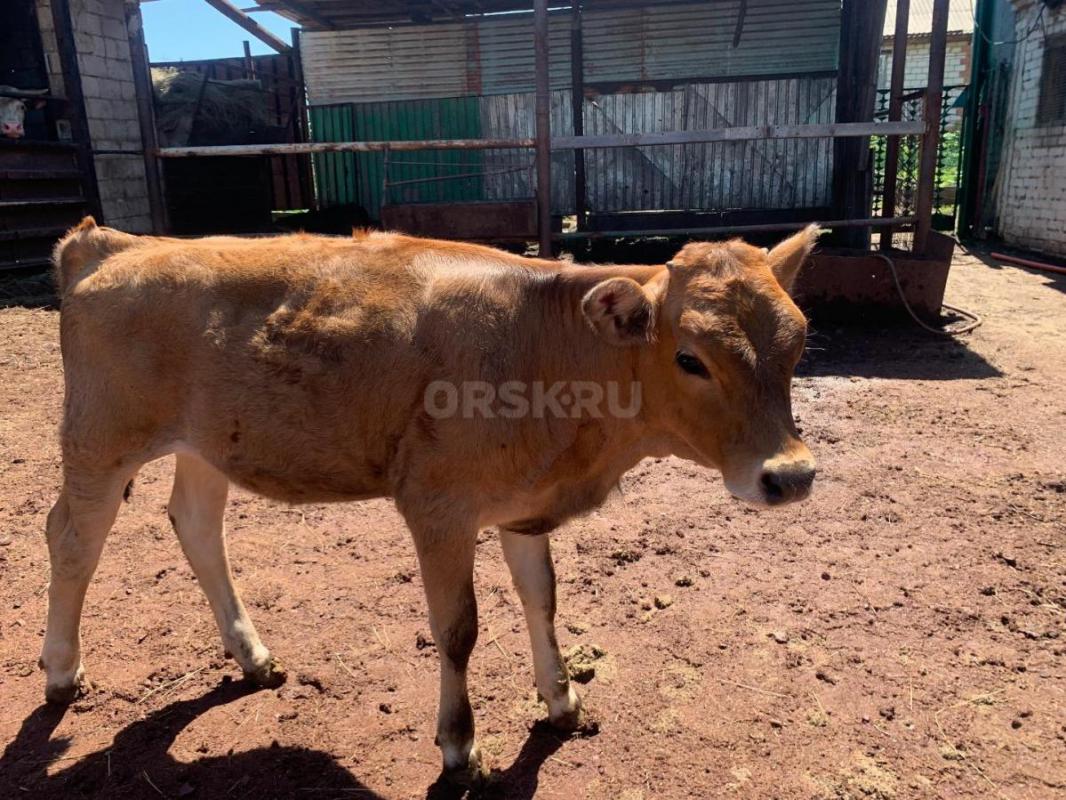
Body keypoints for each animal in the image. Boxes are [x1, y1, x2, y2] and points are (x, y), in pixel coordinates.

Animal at [41, 217, 817, 785]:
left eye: (798, 344)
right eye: (690, 358)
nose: (792, 475)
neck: (546, 345)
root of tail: (111, 243)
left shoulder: (524, 503)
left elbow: (542, 598)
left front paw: (562, 699)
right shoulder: (438, 508)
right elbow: (458, 629)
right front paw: (459, 746)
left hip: (206, 445)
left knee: (197, 526)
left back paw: (253, 656)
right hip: (99, 437)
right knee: (72, 539)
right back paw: (60, 670)